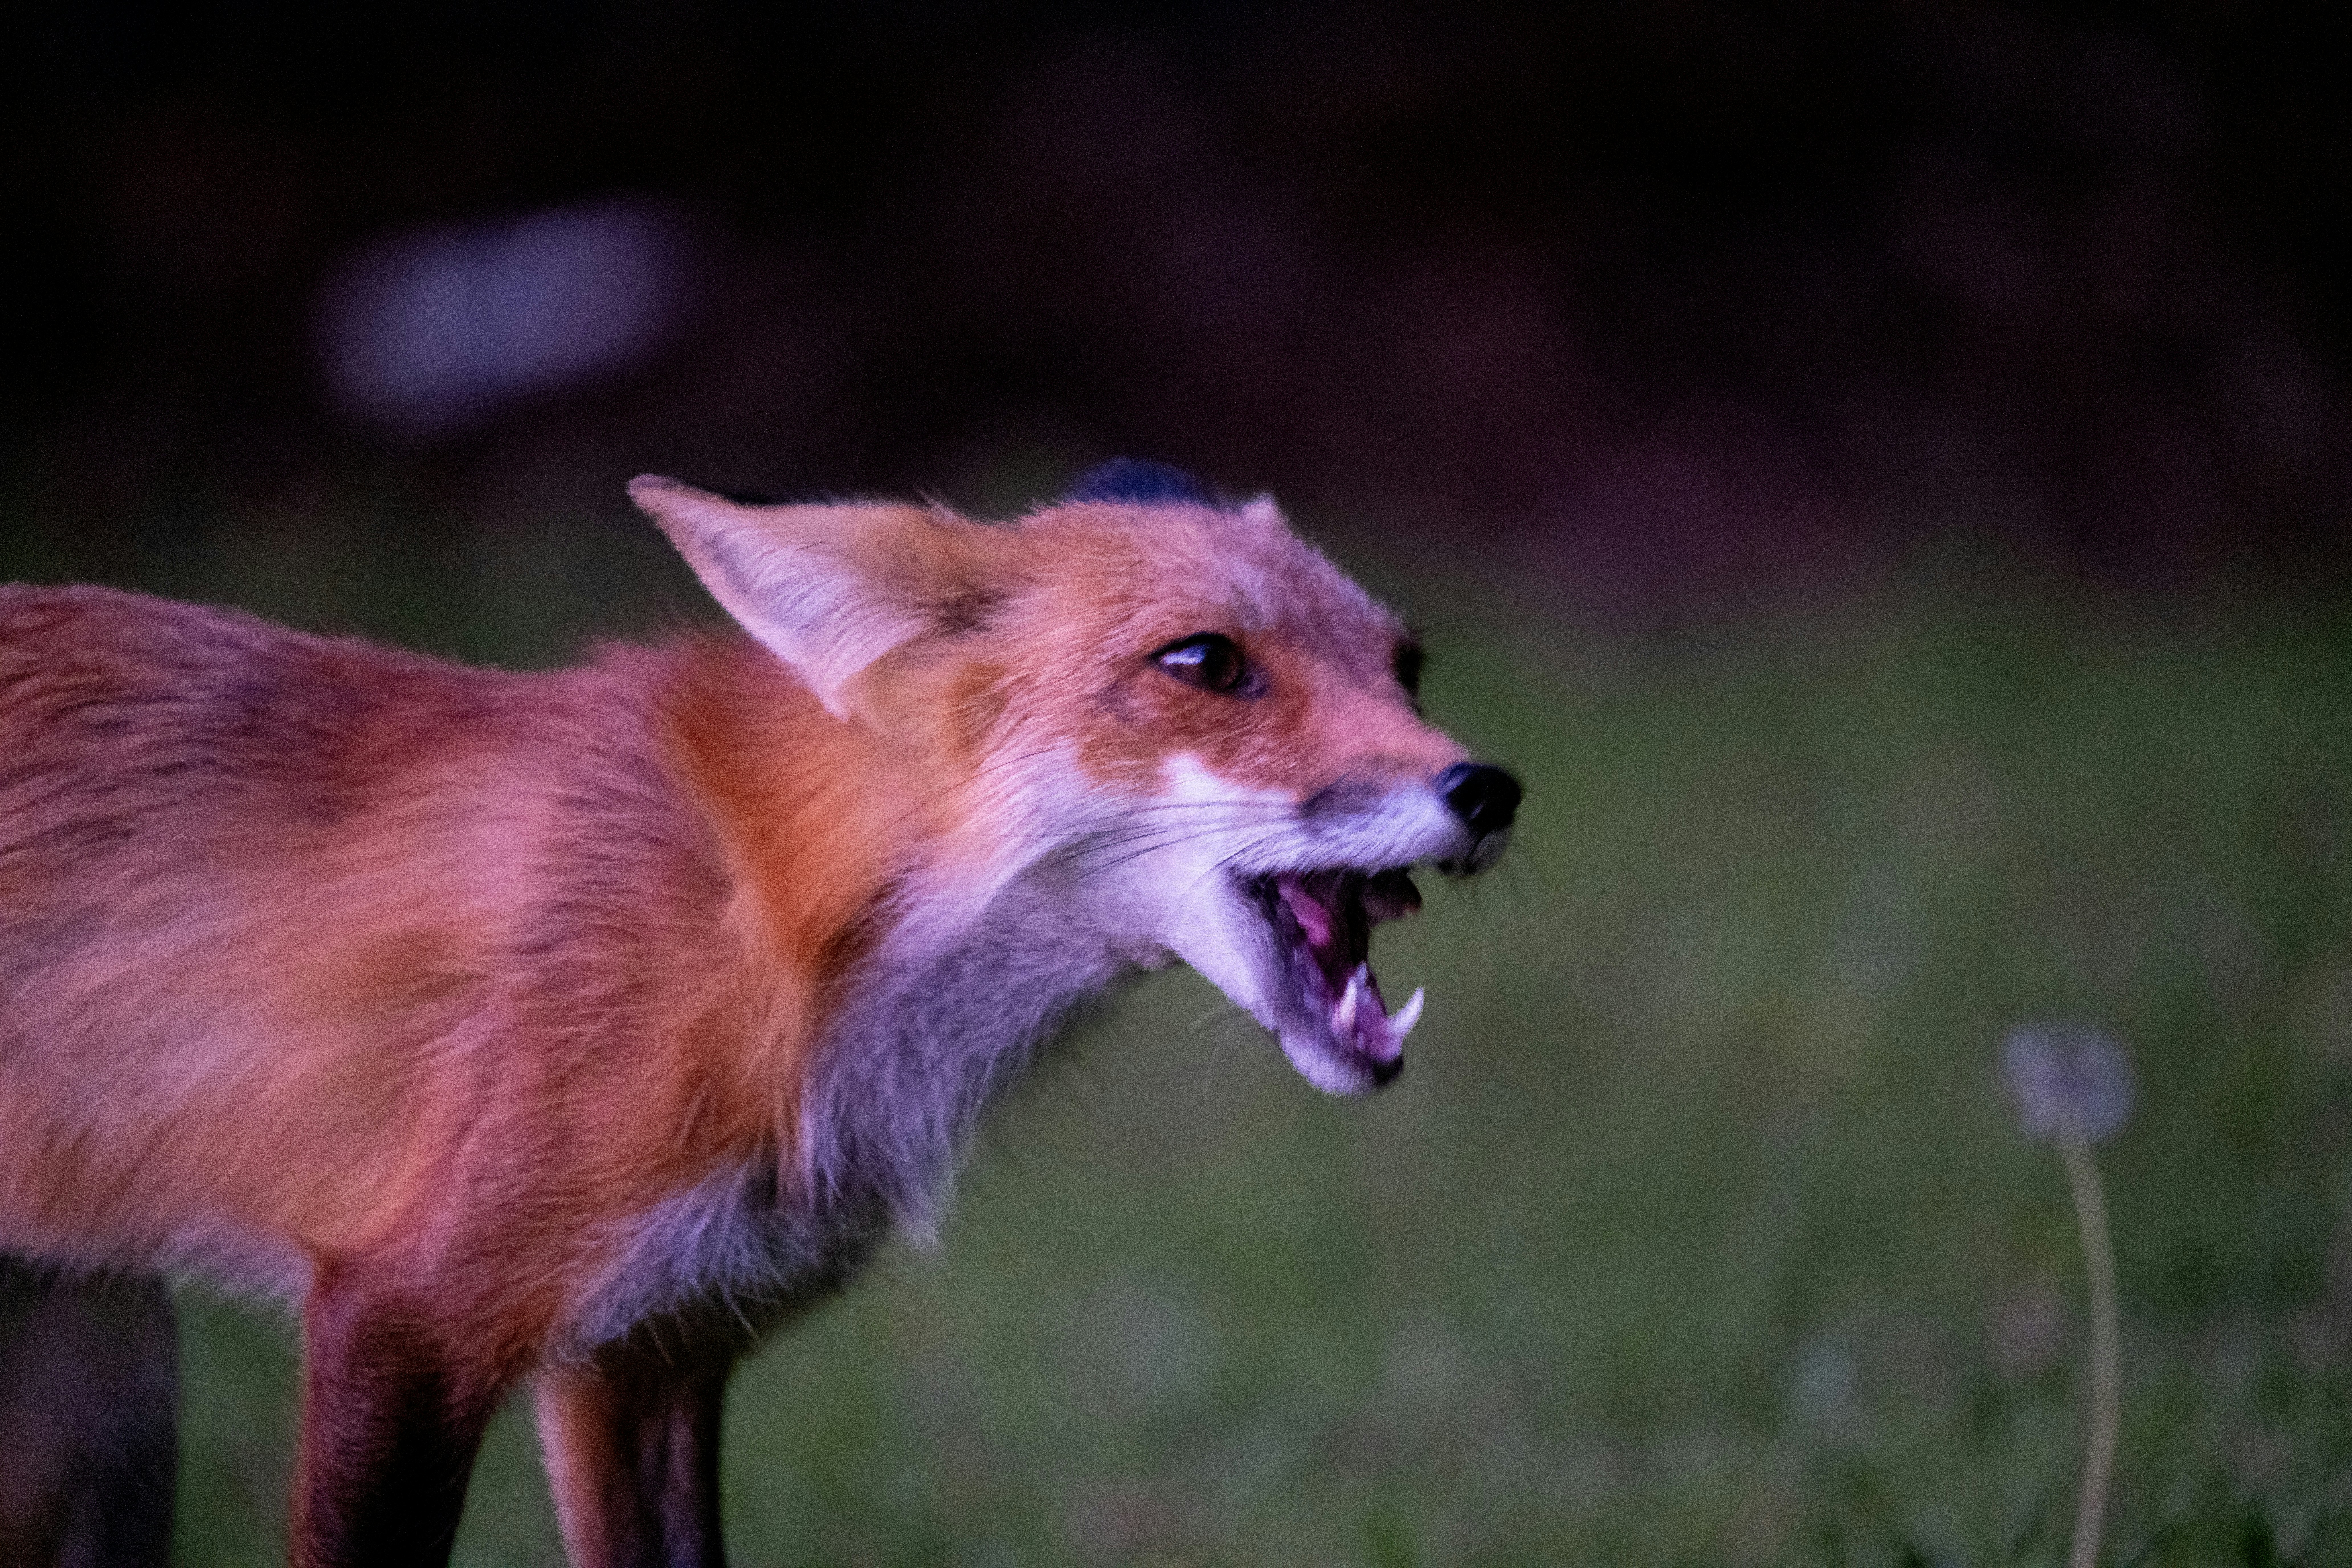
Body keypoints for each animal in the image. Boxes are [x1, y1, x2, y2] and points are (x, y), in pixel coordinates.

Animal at [0, 459, 1520, 1567]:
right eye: (1204, 663)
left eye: (1404, 666)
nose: (1491, 787)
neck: (766, 926)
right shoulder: (409, 1314)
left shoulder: (651, 1351)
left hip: (110, 1412)